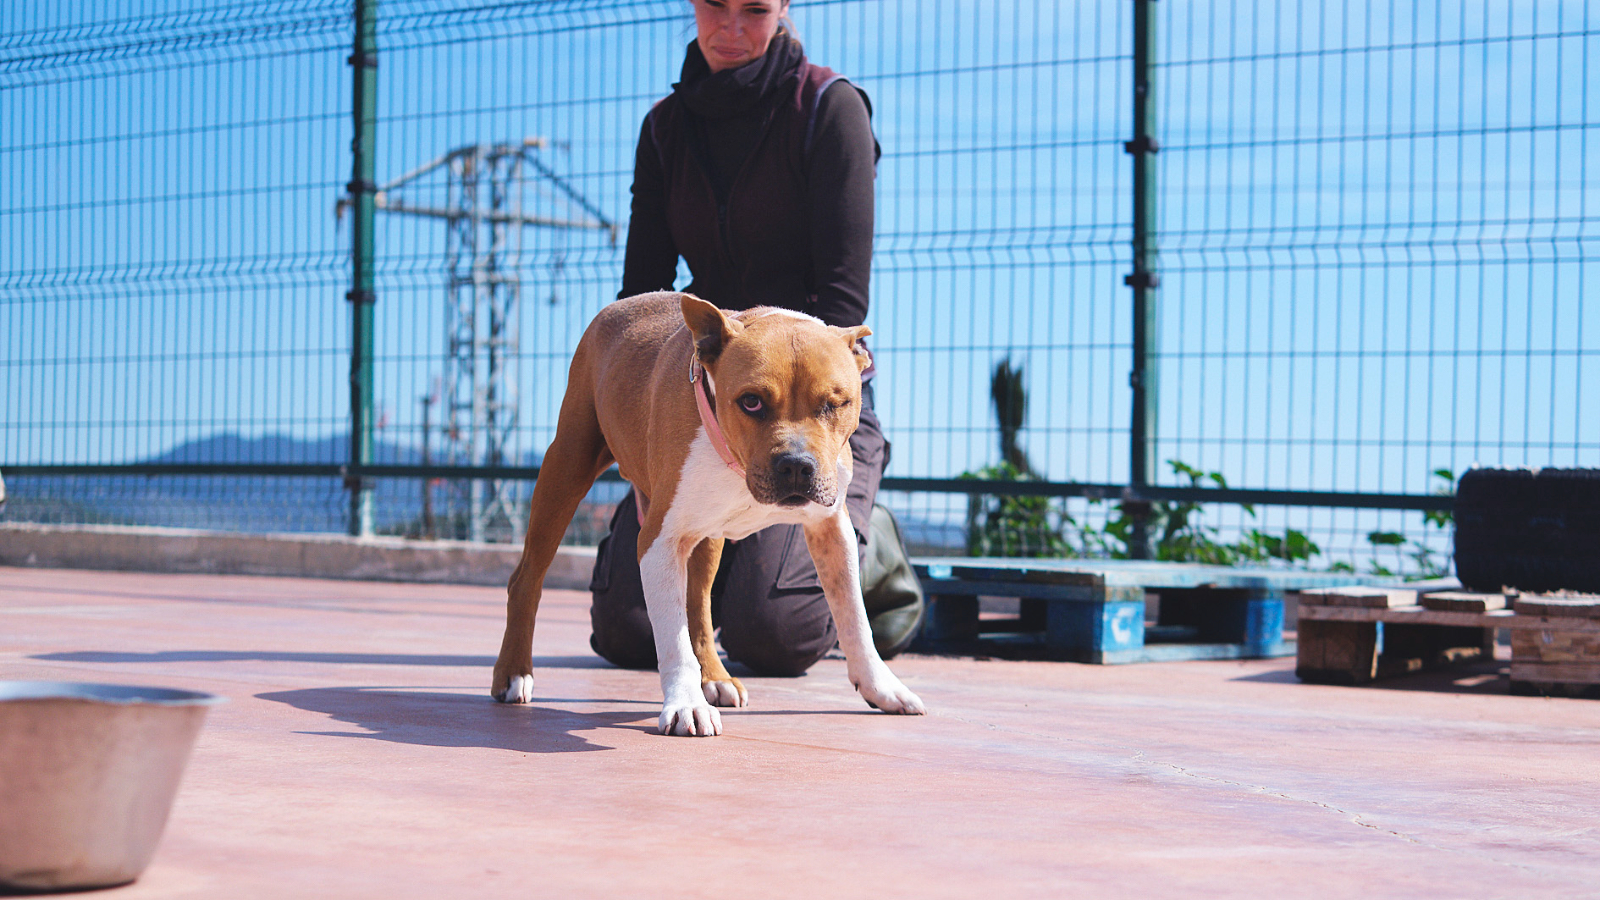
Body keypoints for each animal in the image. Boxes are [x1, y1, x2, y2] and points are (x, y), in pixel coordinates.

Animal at [491, 291, 926, 736]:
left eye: (835, 404)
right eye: (751, 401)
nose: (796, 465)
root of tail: (621, 305)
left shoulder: (831, 530)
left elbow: (854, 616)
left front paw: (881, 686)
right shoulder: (659, 541)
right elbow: (673, 638)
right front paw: (686, 703)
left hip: (707, 534)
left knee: (698, 604)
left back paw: (716, 678)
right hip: (565, 471)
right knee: (526, 580)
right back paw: (514, 672)